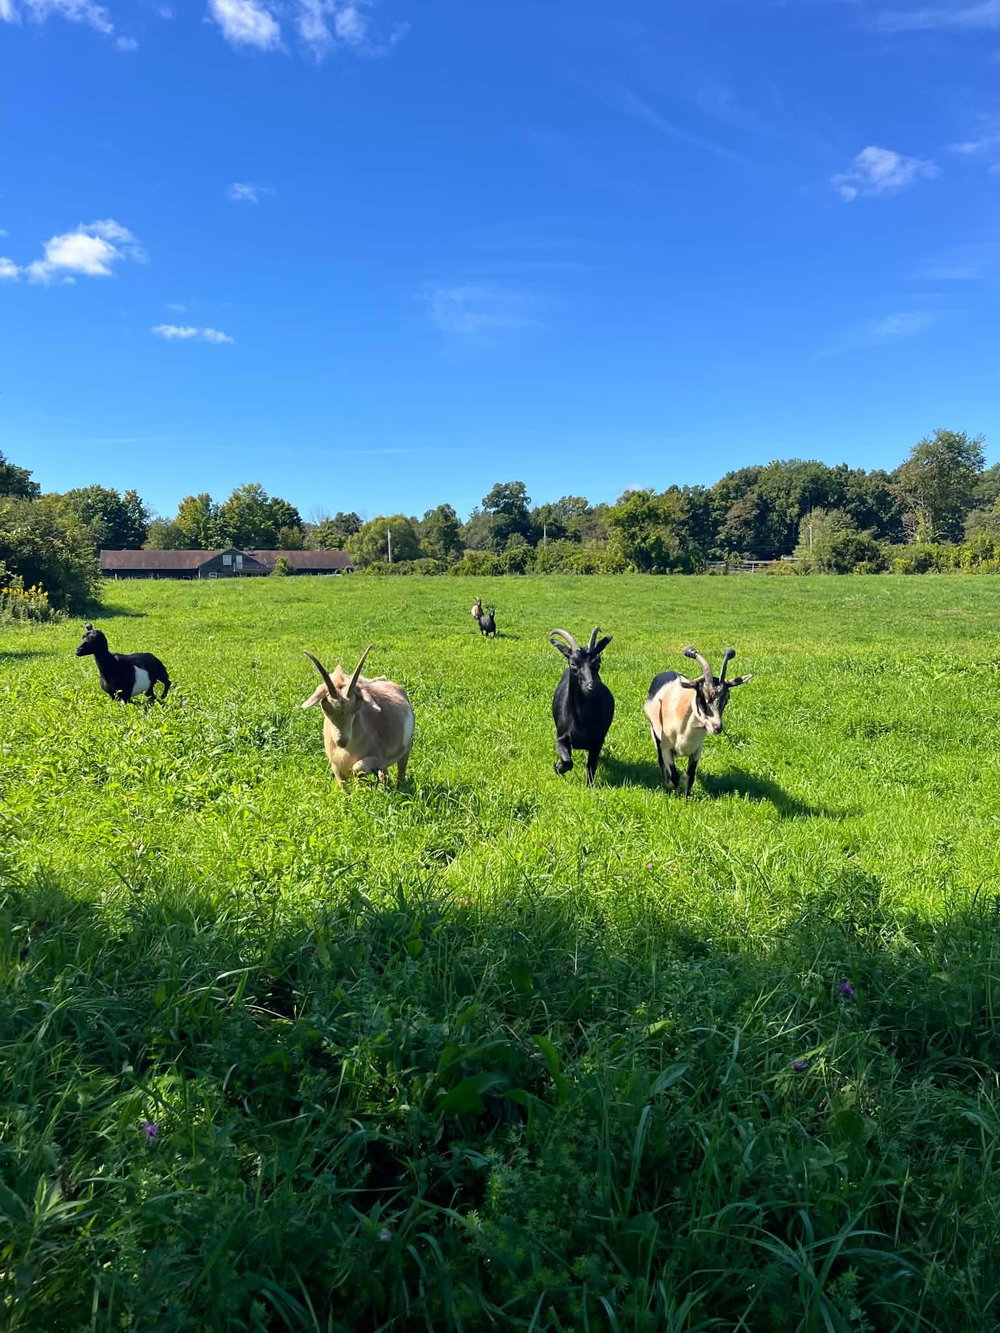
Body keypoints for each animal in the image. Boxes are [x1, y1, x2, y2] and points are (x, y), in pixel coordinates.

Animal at [301, 645, 414, 787]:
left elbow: (357, 768)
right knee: (385, 773)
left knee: (401, 766)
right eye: (325, 707)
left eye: (356, 707)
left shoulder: (379, 758)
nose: (342, 741)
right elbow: (343, 785)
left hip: (406, 747)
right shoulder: (336, 766)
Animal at [550, 626, 614, 785]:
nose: (591, 686)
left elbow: (591, 765)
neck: (581, 719)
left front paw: (590, 786)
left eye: (597, 662)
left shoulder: (598, 741)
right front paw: (557, 767)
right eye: (573, 663)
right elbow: (568, 761)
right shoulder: (561, 738)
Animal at [644, 646, 752, 796]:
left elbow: (690, 776)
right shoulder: (666, 747)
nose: (717, 727)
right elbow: (675, 776)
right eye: (702, 698)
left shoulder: (696, 751)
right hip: (655, 735)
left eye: (726, 699)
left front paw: (687, 797)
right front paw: (669, 786)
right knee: (661, 762)